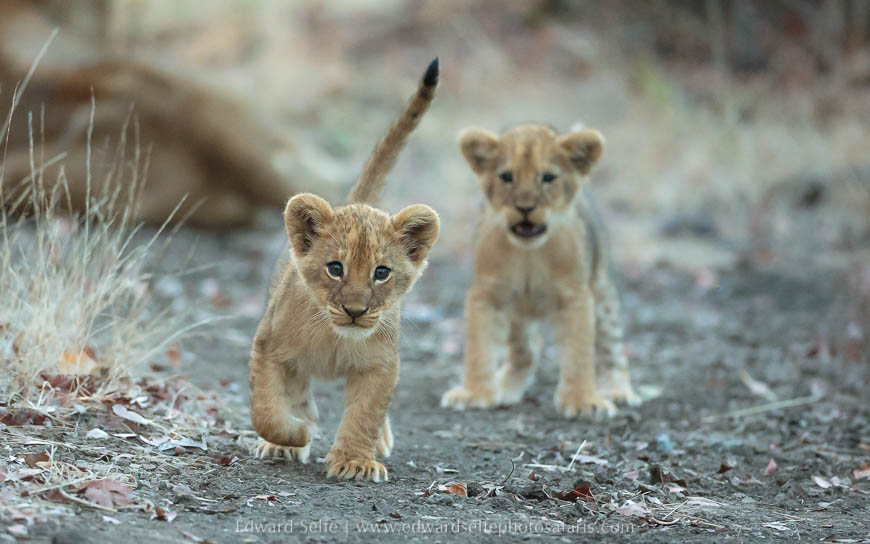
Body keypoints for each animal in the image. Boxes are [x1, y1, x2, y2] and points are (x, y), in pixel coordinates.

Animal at [249, 59, 440, 482]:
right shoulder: (269, 346)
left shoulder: (381, 363)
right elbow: (268, 410)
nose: (355, 311)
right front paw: (294, 435)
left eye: (381, 273)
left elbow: (366, 413)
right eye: (335, 268)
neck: (333, 337)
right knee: (296, 393)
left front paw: (355, 462)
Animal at [441, 124, 640, 416]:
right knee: (527, 349)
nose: (525, 207)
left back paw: (617, 390)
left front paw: (583, 401)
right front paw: (474, 393)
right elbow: (479, 346)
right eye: (507, 176)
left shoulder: (576, 296)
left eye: (547, 177)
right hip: (517, 312)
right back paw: (506, 387)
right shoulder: (487, 293)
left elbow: (579, 352)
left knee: (610, 348)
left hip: (602, 292)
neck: (529, 253)